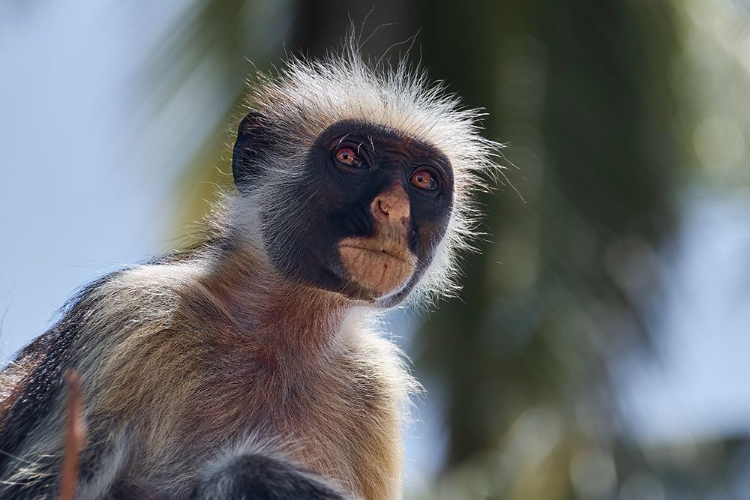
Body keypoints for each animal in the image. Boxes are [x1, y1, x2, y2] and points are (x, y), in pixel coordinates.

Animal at [0, 44, 500, 500]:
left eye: (422, 181)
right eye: (350, 158)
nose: (393, 209)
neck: (277, 338)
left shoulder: (374, 388)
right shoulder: (128, 315)